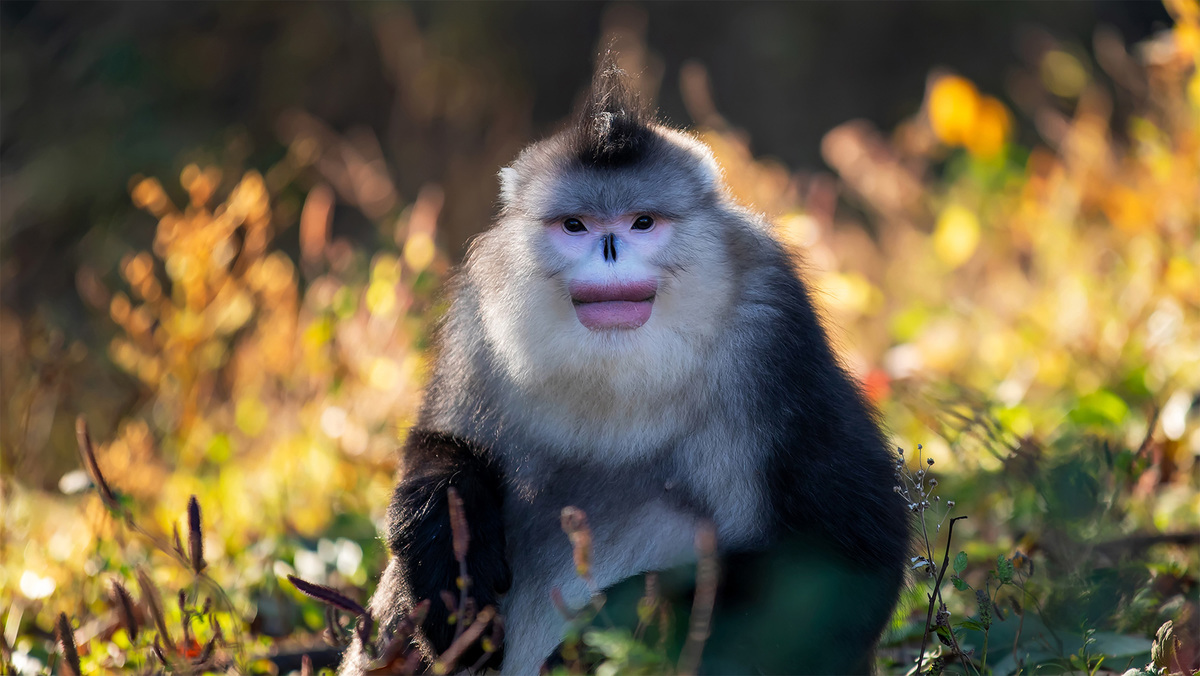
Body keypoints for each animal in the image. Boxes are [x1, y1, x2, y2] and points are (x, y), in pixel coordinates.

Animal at [339, 58, 910, 675]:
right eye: (575, 226)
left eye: (641, 223)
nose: (610, 250)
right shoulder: (479, 320)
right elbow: (437, 442)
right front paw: (444, 532)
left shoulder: (772, 331)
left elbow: (854, 555)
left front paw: (607, 625)